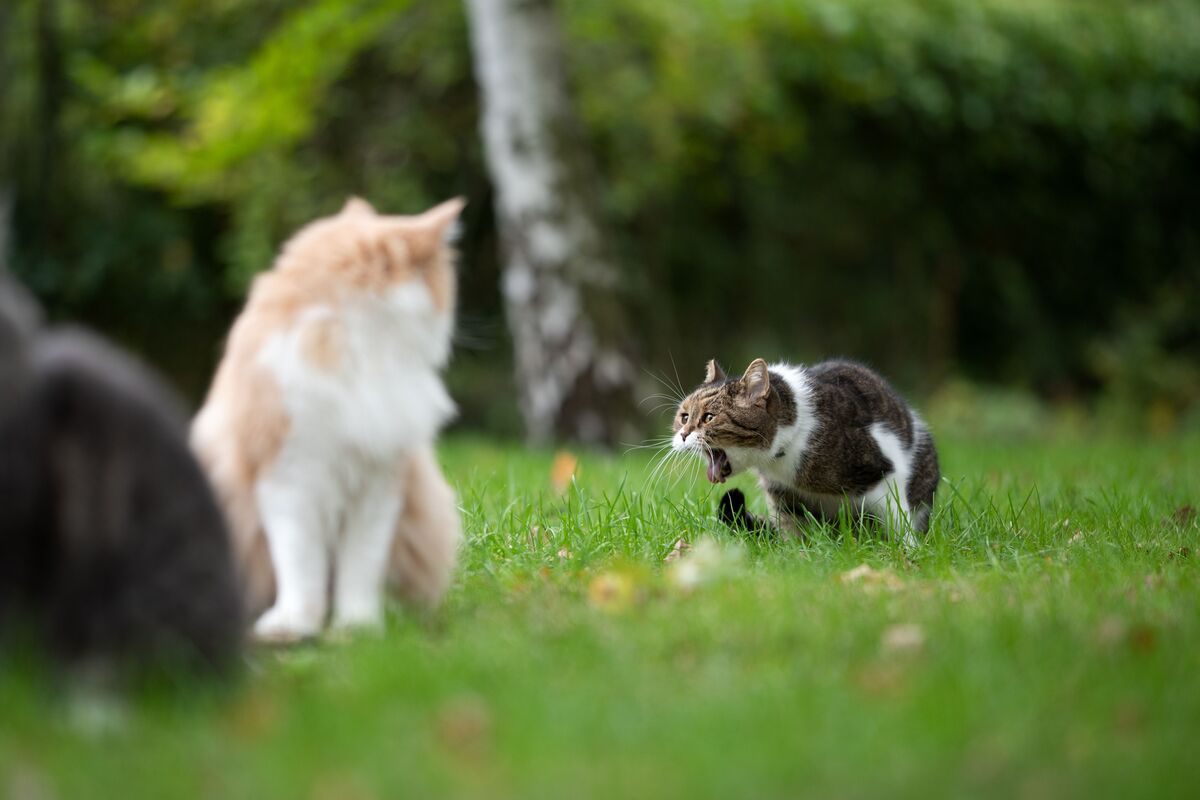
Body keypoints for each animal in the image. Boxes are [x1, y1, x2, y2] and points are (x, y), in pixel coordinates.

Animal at [190, 195, 463, 642]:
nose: (448, 316)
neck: (354, 347)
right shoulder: (288, 480)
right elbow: (300, 566)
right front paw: (294, 625)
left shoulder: (379, 486)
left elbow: (361, 568)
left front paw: (357, 627)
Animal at [676, 359, 936, 546]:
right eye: (684, 417)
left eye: (709, 417)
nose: (682, 435)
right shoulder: (782, 493)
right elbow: (793, 529)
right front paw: (797, 555)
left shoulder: (884, 467)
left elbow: (897, 518)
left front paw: (909, 552)